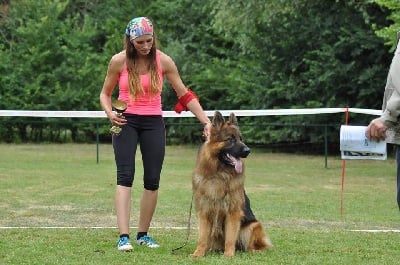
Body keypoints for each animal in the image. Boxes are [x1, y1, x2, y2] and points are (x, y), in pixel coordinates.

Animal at [191, 110, 272, 256]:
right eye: (231, 139)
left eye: (241, 138)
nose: (248, 151)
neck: (219, 174)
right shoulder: (204, 212)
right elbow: (202, 238)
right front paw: (198, 254)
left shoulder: (233, 213)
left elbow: (230, 237)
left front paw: (228, 255)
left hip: (253, 226)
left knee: (253, 246)